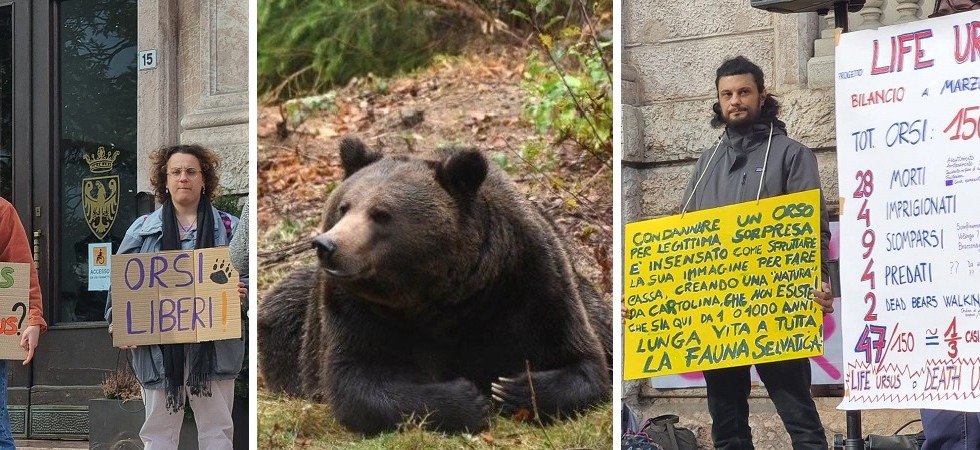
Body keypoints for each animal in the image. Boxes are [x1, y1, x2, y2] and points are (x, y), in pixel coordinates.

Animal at [258, 136, 612, 435]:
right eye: (343, 207)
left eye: (381, 214)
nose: (327, 245)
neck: (440, 294)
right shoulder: (356, 310)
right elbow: (357, 381)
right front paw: (468, 398)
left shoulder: (529, 285)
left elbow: (583, 361)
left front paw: (513, 389)